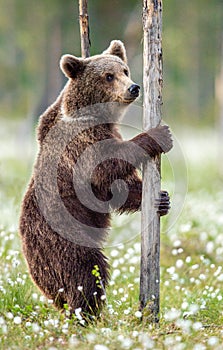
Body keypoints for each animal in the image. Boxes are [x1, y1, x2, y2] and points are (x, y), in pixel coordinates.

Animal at [19, 39, 172, 318]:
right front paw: (159, 135)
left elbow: (114, 187)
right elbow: (105, 165)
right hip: (64, 239)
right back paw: (88, 312)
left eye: (124, 69)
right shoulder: (80, 142)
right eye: (108, 75)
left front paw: (162, 199)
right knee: (86, 273)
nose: (134, 87)